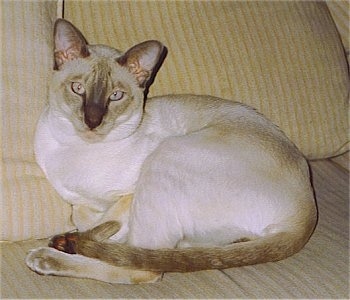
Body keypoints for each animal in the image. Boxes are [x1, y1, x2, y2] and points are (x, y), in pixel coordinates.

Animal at [25, 18, 318, 284]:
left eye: (116, 96)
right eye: (78, 89)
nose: (92, 121)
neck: (78, 148)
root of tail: (307, 212)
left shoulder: (128, 195)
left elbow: (105, 221)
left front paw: (77, 238)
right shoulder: (77, 199)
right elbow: (83, 215)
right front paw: (74, 236)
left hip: (166, 155)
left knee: (145, 268)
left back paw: (47, 257)